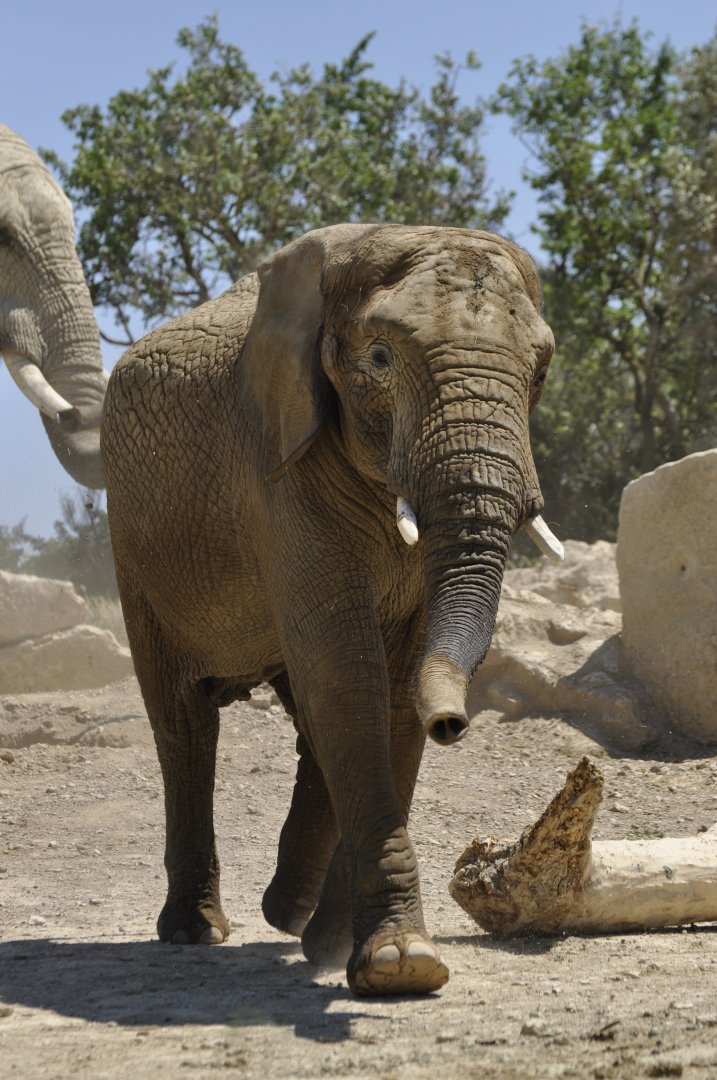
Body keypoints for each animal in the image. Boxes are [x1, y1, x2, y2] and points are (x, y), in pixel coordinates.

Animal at [101, 223, 562, 996]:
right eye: (378, 358)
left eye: (540, 371)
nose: (451, 724)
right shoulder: (277, 473)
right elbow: (348, 675)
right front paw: (401, 966)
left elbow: (385, 684)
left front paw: (354, 951)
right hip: (133, 547)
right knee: (184, 723)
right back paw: (198, 932)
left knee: (303, 714)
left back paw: (292, 920)